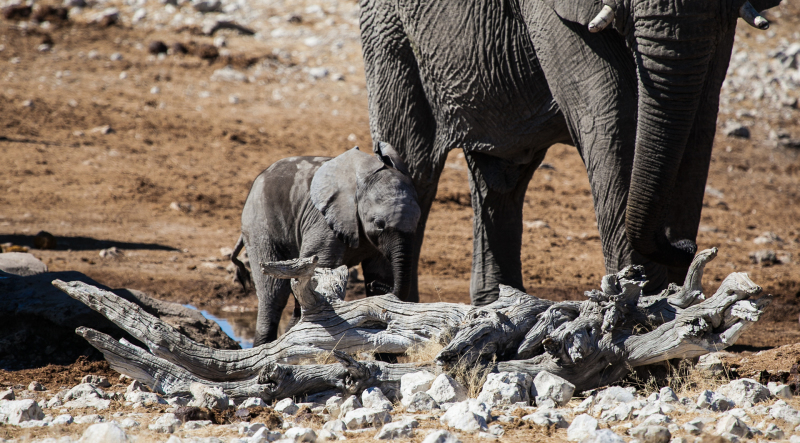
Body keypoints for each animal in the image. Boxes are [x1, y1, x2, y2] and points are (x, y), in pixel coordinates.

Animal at [230, 144, 422, 346]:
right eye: (379, 224)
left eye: (418, 222)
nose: (374, 286)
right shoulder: (323, 220)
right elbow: (319, 264)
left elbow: (381, 270)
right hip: (259, 225)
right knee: (273, 293)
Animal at [358, 0, 780, 306]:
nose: (684, 246)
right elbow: (616, 112)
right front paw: (646, 311)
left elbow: (701, 117)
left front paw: (678, 308)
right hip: (390, 28)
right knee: (415, 164)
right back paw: (396, 312)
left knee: (501, 177)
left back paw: (498, 307)